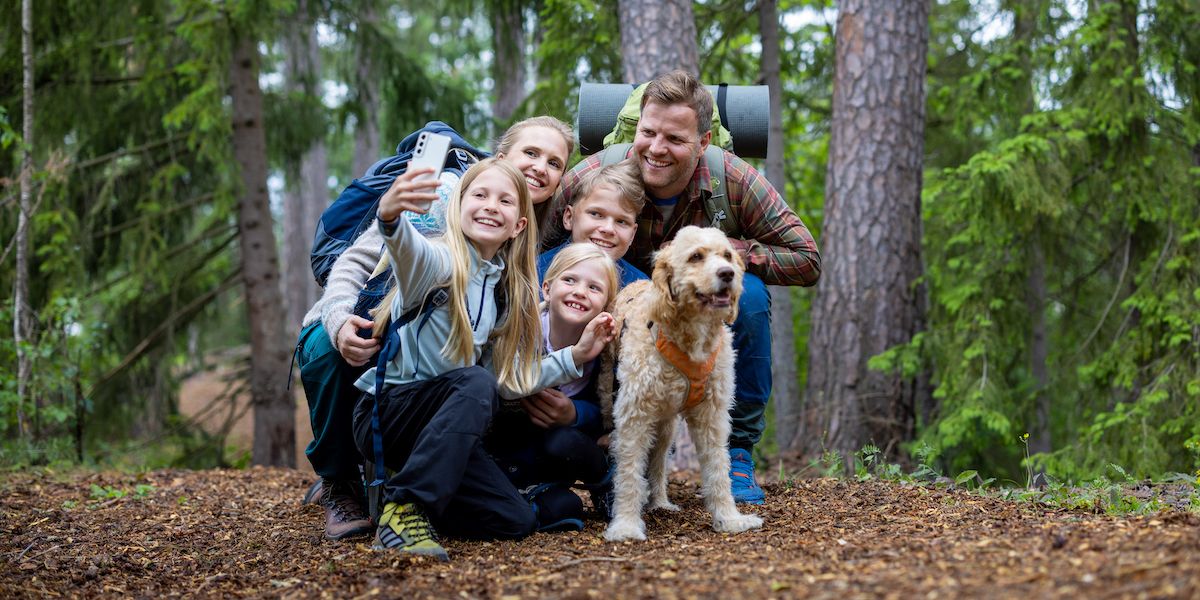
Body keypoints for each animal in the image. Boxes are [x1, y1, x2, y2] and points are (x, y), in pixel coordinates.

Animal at [604, 225, 763, 544]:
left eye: (727, 255)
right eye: (695, 257)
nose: (728, 273)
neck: (692, 341)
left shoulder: (712, 415)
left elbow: (718, 468)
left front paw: (729, 519)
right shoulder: (634, 414)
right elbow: (628, 472)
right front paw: (625, 524)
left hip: (666, 426)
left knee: (658, 462)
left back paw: (660, 502)